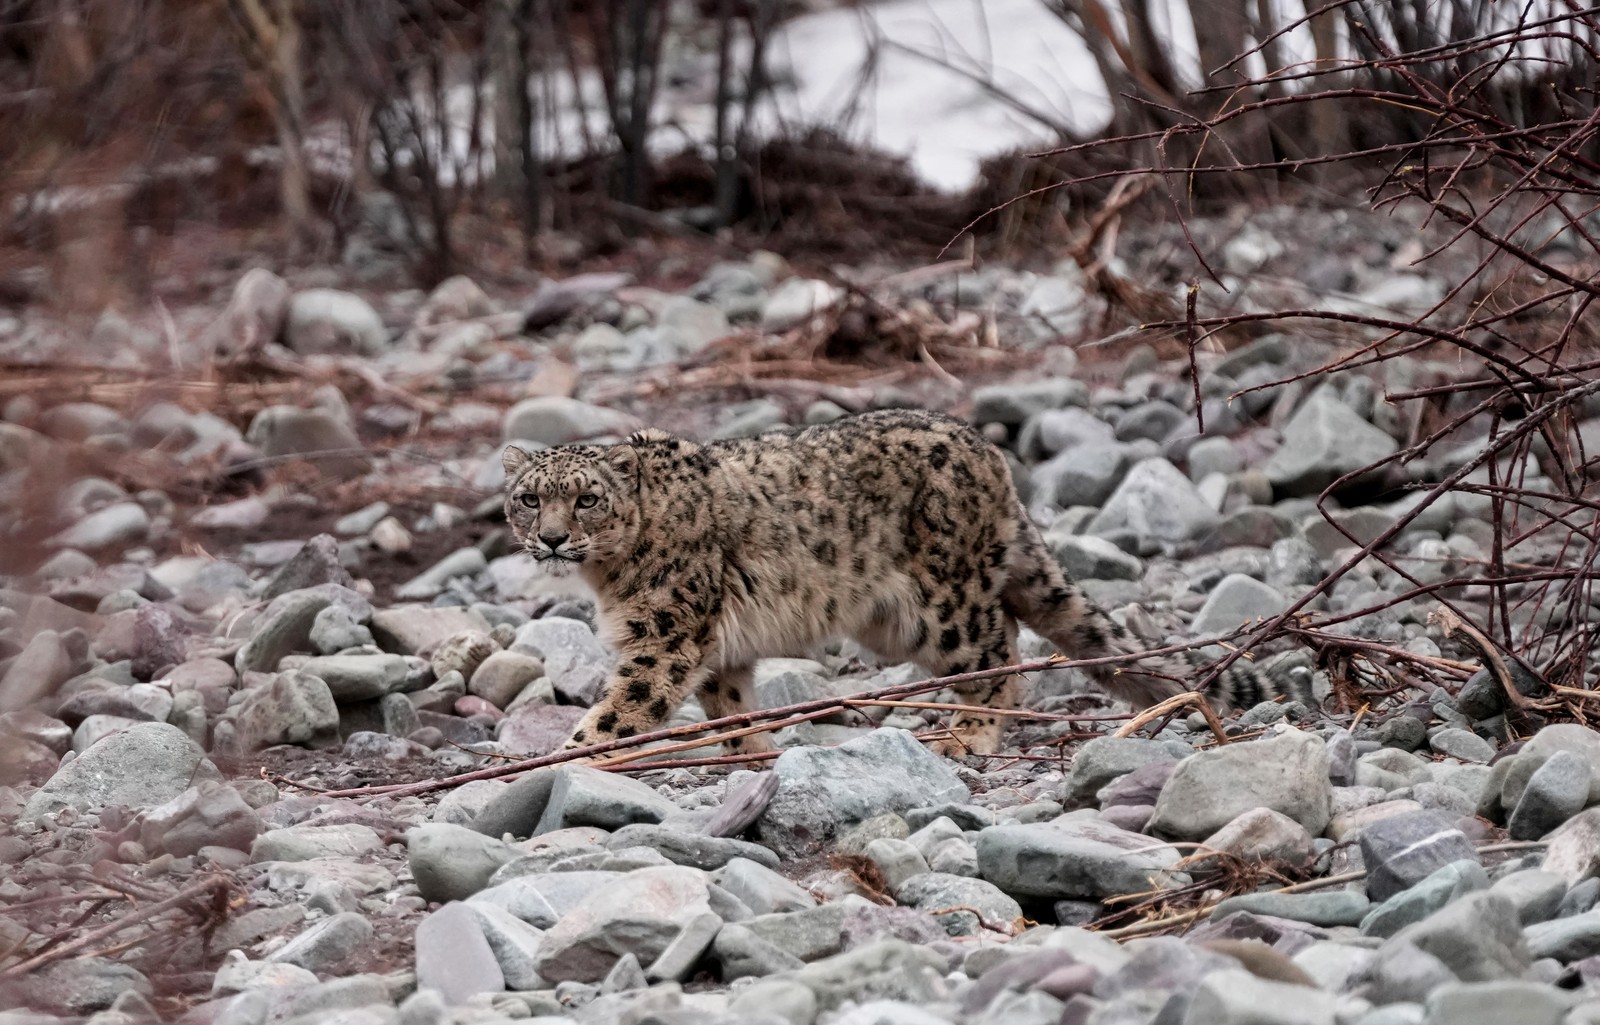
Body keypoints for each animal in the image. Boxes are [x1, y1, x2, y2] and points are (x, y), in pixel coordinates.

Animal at [501, 408, 1303, 759]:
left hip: (943, 603)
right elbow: (729, 701)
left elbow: (622, 708)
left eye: (586, 498)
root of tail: (990, 455)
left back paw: (969, 734)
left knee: (998, 649)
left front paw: (561, 759)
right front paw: (747, 753)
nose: (551, 537)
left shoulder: (664, 636)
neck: (606, 577)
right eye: (529, 498)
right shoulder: (714, 646)